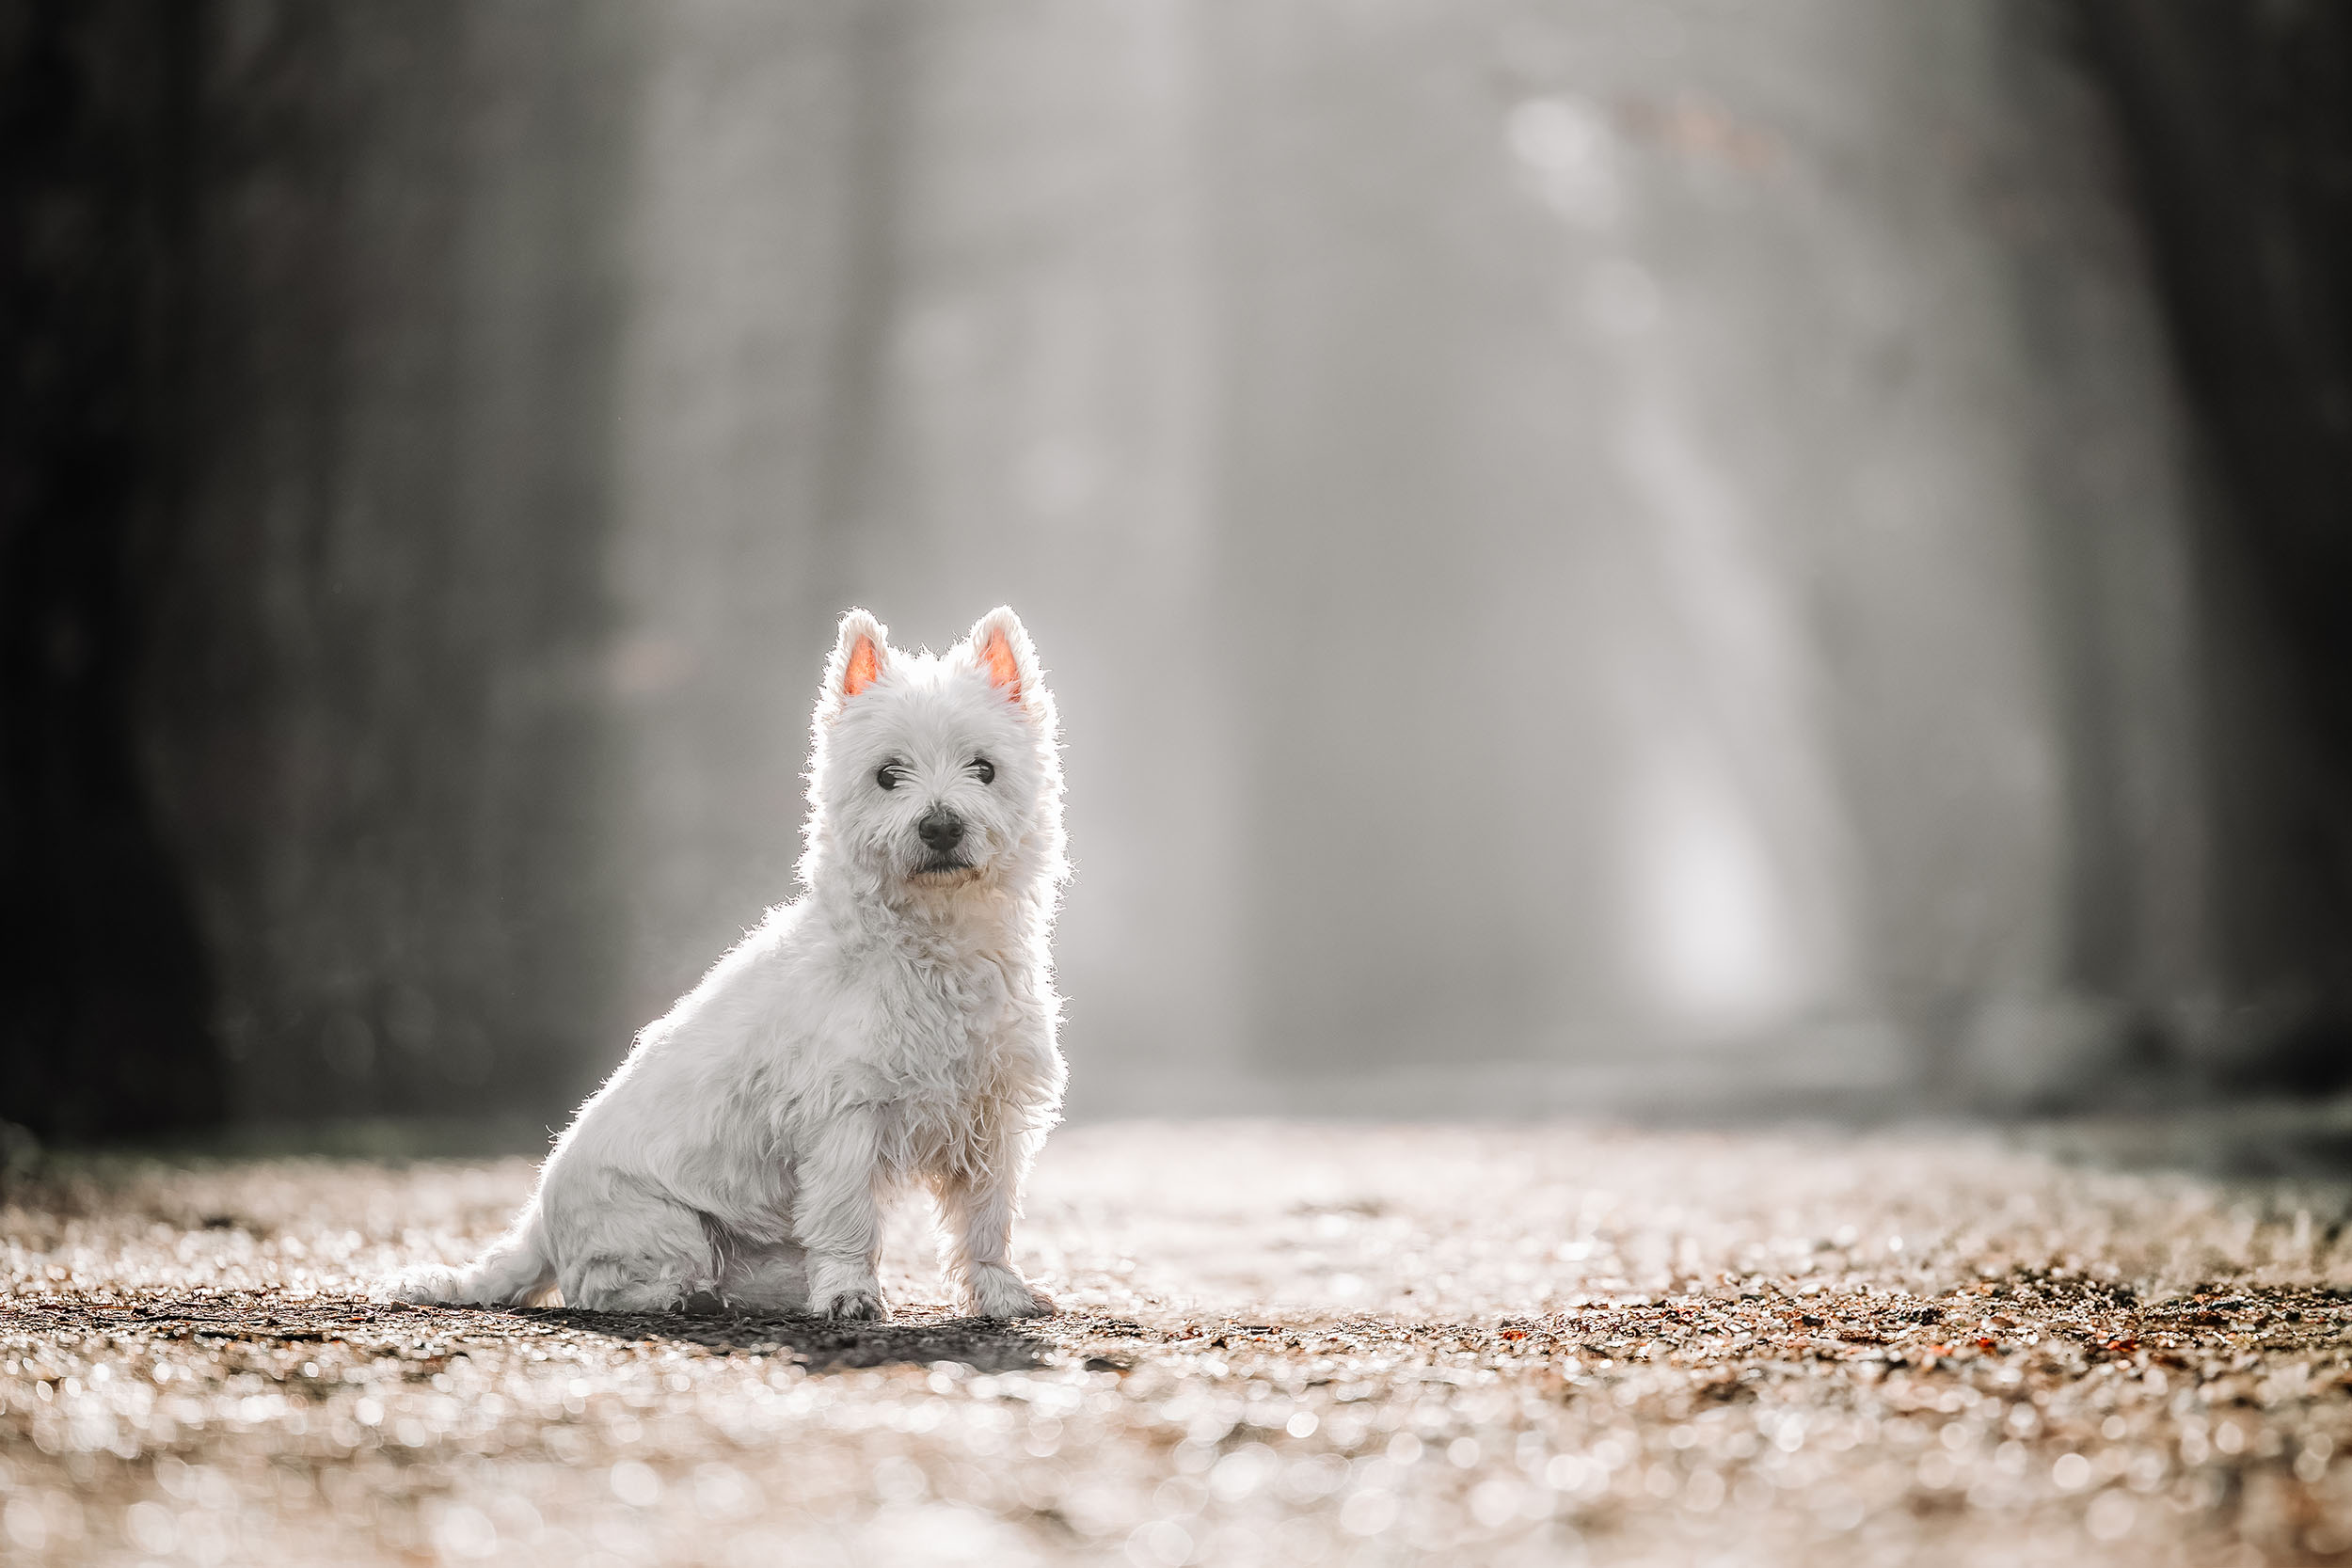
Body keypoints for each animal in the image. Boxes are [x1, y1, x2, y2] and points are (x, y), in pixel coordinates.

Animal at [392, 606, 1068, 1316]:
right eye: (888, 773)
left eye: (984, 768)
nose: (940, 826)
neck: (938, 941)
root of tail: (539, 1222)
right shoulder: (845, 1117)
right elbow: (848, 1218)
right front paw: (850, 1296)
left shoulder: (992, 1116)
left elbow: (988, 1218)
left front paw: (1002, 1293)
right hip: (663, 1225)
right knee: (605, 1285)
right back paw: (691, 1297)